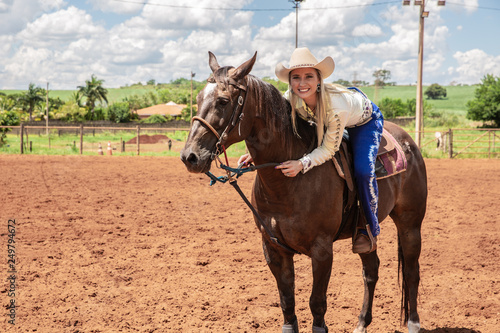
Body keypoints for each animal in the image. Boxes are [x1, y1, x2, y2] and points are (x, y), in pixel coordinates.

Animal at [182, 52, 428, 332]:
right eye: (198, 99)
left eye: (223, 101)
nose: (190, 156)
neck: (286, 186)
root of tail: (409, 143)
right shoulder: (273, 248)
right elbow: (287, 300)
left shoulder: (322, 250)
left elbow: (317, 303)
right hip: (367, 232)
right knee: (371, 271)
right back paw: (361, 323)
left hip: (410, 223)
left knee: (411, 271)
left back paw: (413, 323)